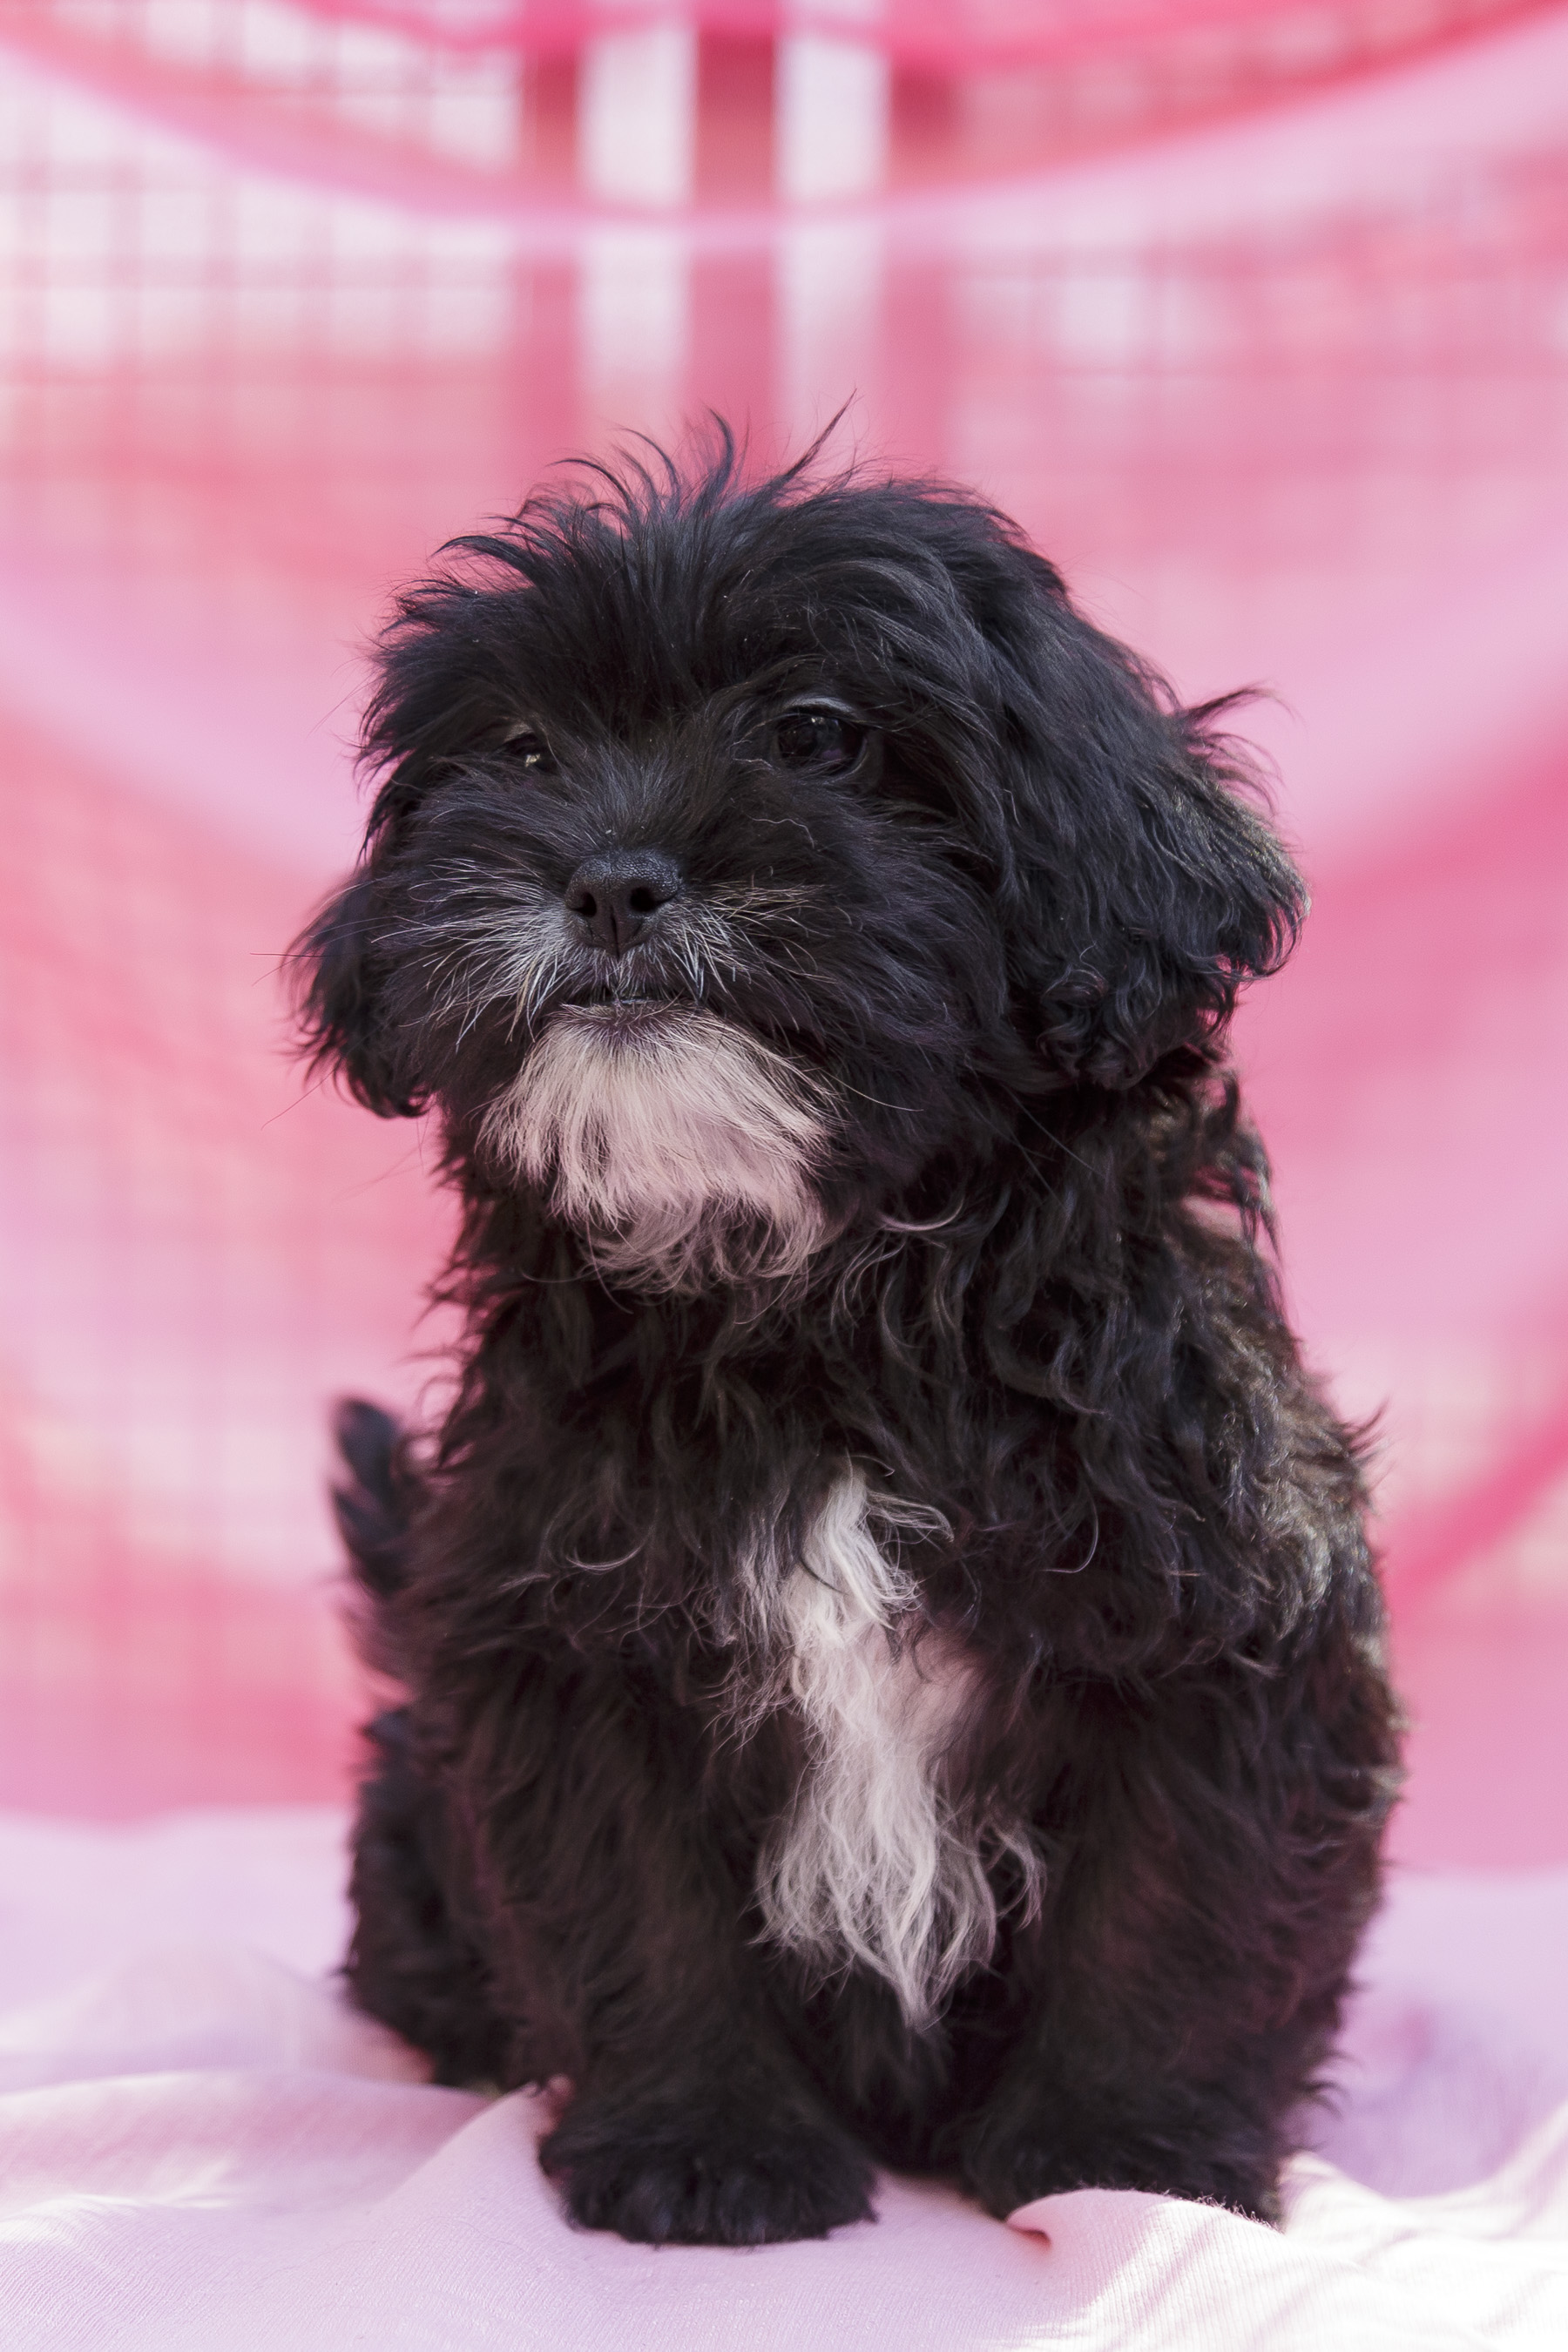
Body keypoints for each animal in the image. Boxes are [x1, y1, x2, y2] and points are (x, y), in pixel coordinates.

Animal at [294, 432, 1401, 2248]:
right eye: (519, 752)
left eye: (816, 734)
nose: (609, 875)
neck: (818, 1309)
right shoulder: (562, 1633)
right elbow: (635, 1903)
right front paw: (704, 2148)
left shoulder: (1225, 1617)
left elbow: (1174, 1907)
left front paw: (1125, 2154)